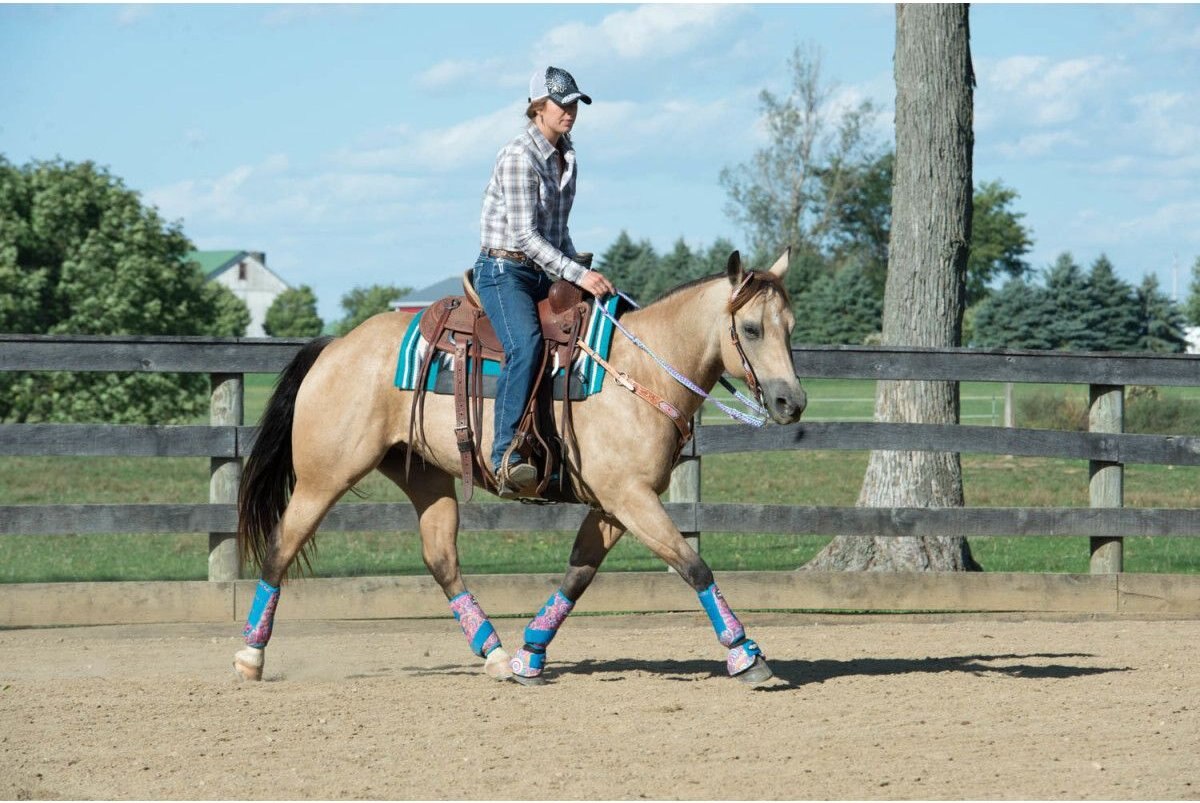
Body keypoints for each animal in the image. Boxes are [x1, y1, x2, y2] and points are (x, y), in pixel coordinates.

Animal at [234, 248, 806, 681]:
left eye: (790, 327)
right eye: (750, 328)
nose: (792, 403)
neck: (640, 368)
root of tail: (337, 347)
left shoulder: (615, 505)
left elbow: (579, 573)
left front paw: (531, 654)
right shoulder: (630, 497)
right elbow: (693, 565)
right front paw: (746, 655)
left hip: (424, 475)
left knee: (441, 559)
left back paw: (495, 654)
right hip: (324, 476)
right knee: (281, 546)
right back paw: (250, 655)